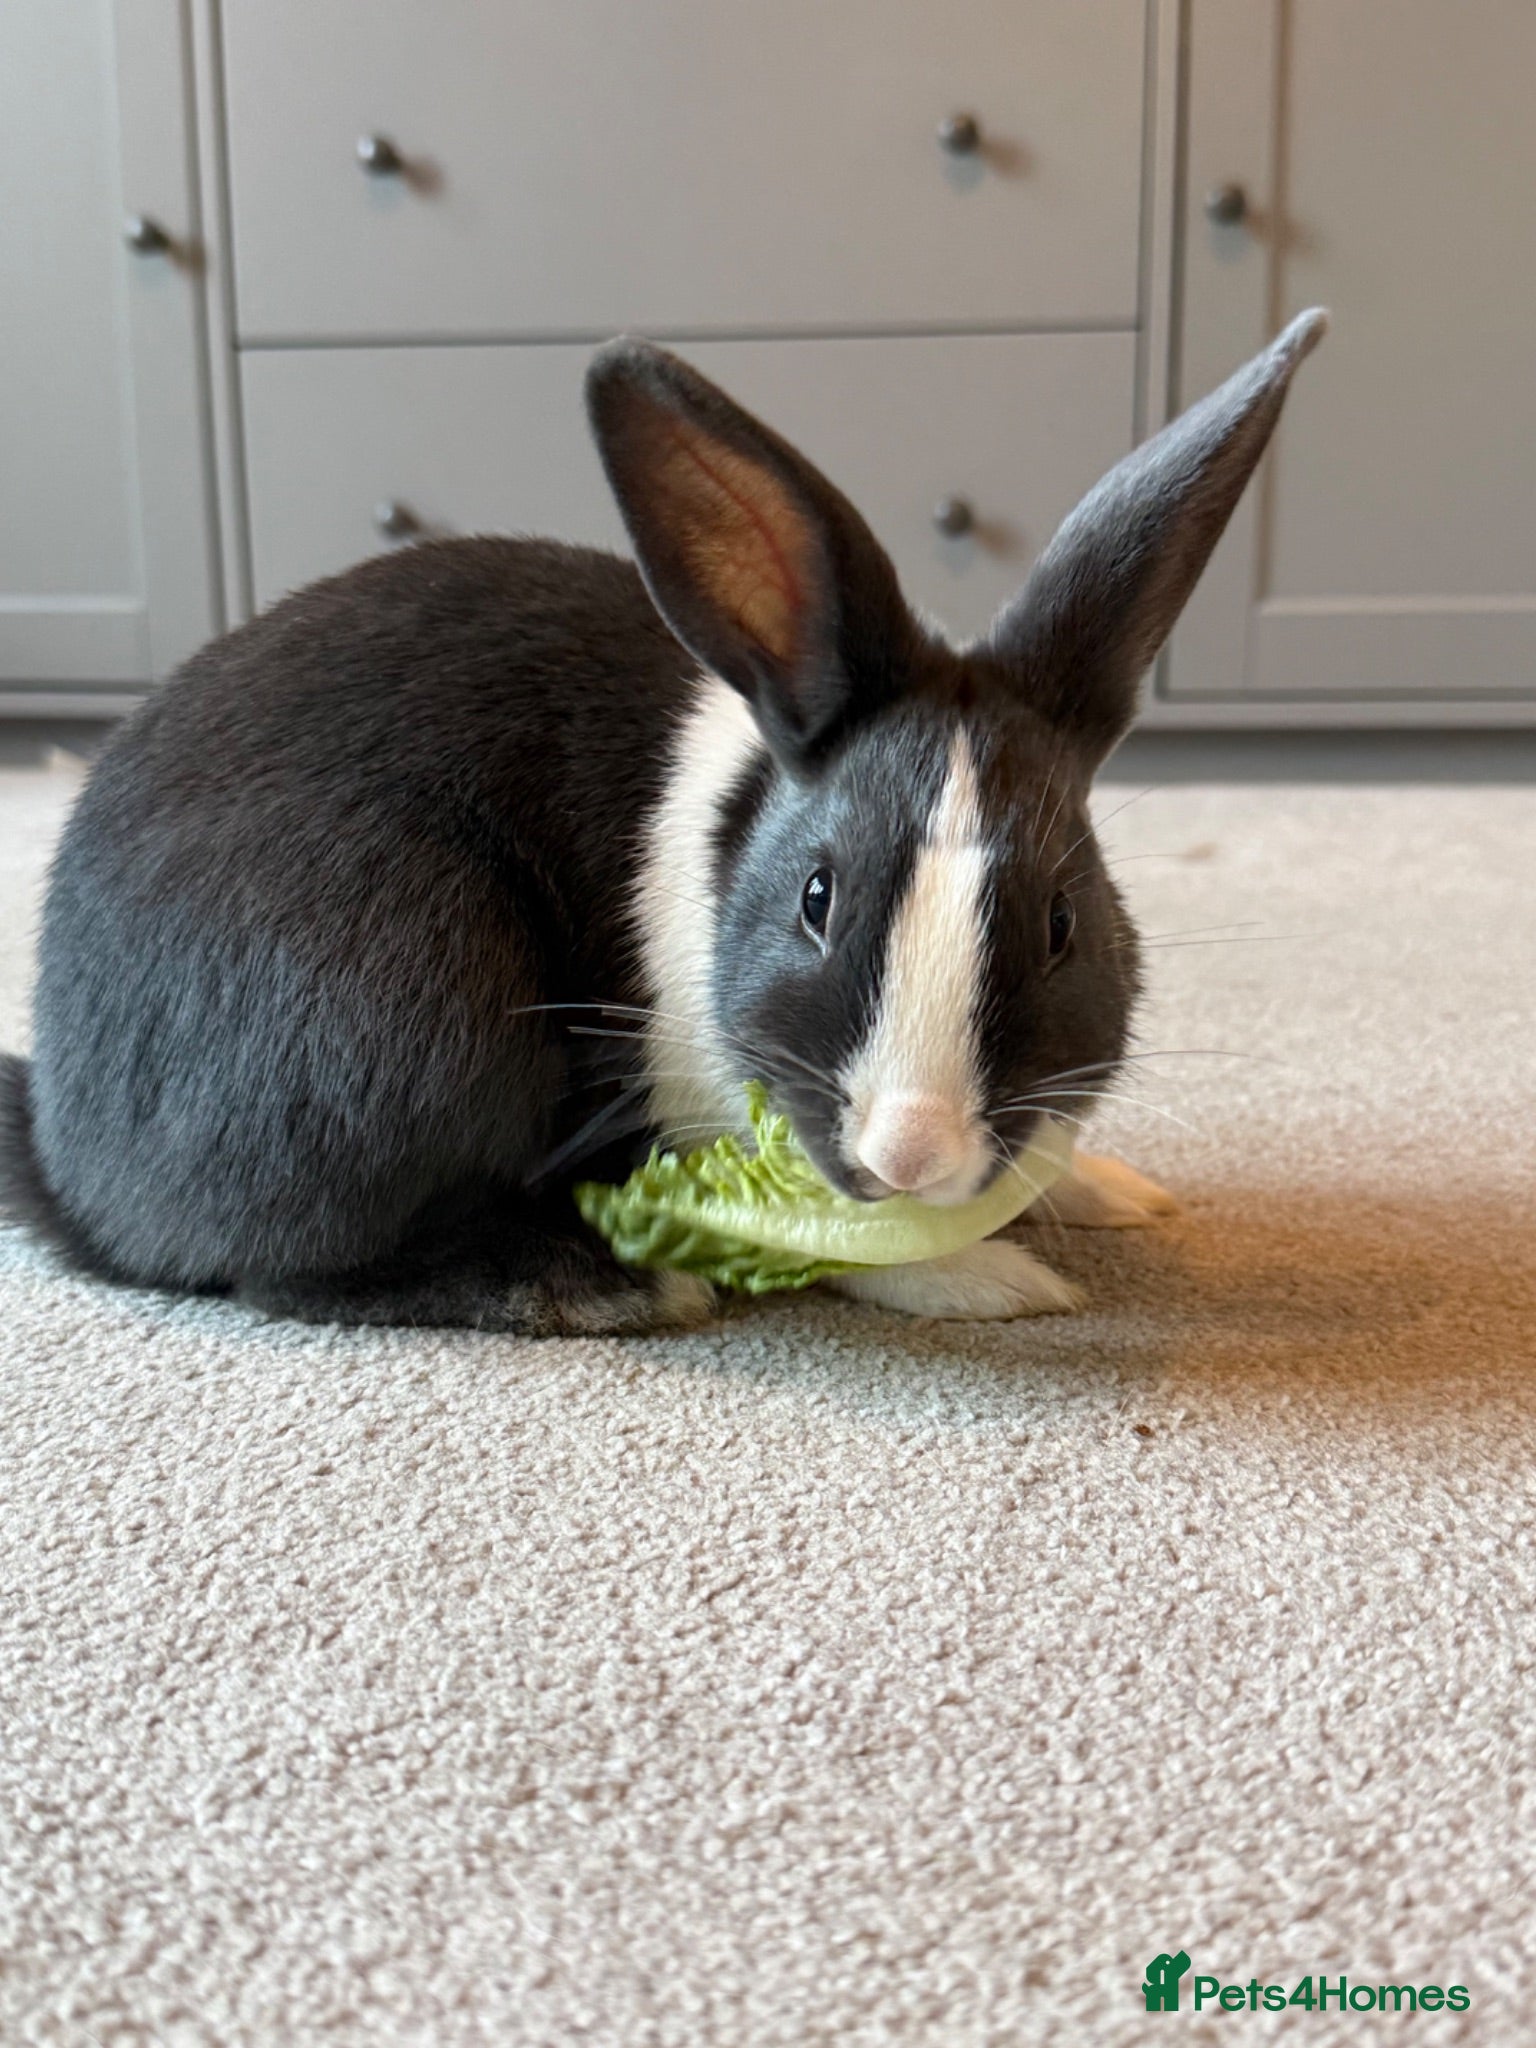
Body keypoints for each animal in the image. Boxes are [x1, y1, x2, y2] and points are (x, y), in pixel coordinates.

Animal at [0, 310, 1327, 1333]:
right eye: (816, 897)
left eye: (1062, 922)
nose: (911, 1149)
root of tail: (68, 1155)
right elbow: (851, 1247)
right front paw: (991, 1277)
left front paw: (1113, 1189)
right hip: (402, 1001)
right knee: (295, 1267)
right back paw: (613, 1286)